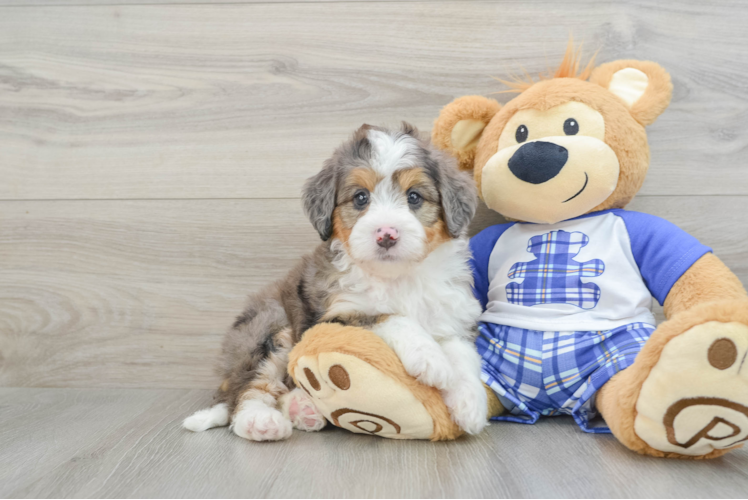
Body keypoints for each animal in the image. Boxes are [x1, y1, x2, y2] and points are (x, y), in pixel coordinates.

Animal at [184, 123, 488, 440]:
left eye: (414, 197)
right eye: (360, 198)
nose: (387, 235)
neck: (399, 277)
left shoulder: (453, 315)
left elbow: (463, 353)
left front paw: (470, 405)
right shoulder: (334, 316)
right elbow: (391, 317)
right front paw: (430, 358)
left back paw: (302, 409)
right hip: (270, 325)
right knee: (246, 389)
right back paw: (260, 421)